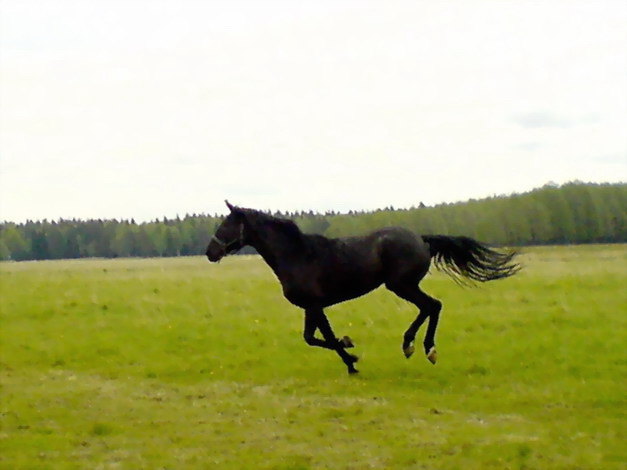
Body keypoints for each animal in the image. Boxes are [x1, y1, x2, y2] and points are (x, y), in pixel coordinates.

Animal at [206, 201, 520, 374]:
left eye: (225, 226)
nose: (210, 252)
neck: (297, 255)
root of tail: (421, 238)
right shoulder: (310, 306)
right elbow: (311, 338)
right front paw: (349, 349)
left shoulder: (315, 304)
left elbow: (325, 337)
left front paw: (352, 358)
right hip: (402, 286)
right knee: (430, 307)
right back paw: (412, 345)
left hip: (401, 285)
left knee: (433, 305)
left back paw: (421, 348)